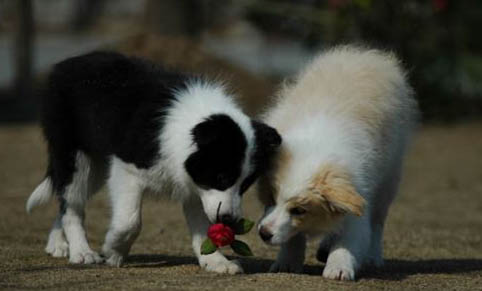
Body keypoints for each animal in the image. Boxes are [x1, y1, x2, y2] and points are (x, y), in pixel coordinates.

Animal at [26, 51, 280, 274]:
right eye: (221, 177)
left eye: (246, 185)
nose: (229, 220)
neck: (189, 127)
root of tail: (65, 64)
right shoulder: (127, 168)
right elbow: (130, 221)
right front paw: (114, 251)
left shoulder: (196, 184)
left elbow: (202, 225)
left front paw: (216, 262)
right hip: (75, 157)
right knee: (71, 202)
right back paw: (81, 252)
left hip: (95, 168)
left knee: (65, 199)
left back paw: (58, 244)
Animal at [256, 46, 418, 282]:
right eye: (270, 198)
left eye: (299, 210)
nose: (263, 233)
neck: (316, 147)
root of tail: (367, 55)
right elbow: (294, 237)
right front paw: (287, 262)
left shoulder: (358, 194)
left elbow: (349, 238)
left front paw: (339, 266)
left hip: (388, 181)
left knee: (377, 223)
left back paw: (372, 257)